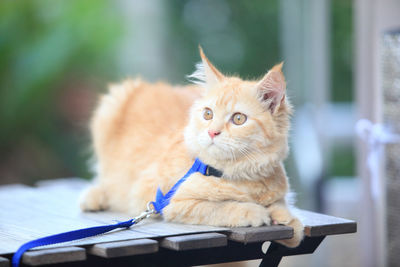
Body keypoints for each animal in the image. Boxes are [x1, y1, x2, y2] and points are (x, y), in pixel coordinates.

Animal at [80, 47, 304, 247]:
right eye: (208, 114)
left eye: (239, 119)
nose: (212, 132)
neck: (238, 174)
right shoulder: (175, 204)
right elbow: (222, 207)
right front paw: (254, 211)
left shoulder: (279, 193)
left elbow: (286, 212)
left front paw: (286, 218)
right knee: (103, 179)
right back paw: (94, 198)